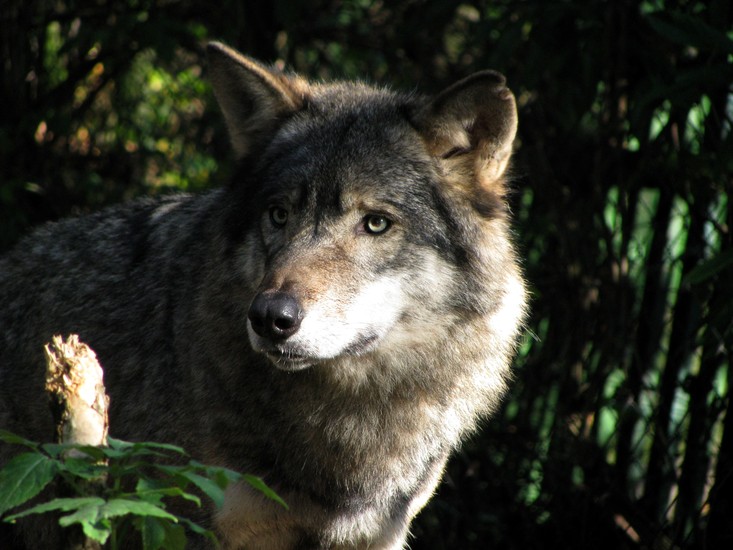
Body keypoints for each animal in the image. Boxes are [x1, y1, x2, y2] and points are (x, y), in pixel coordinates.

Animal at [0, 42, 527, 549]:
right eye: (278, 214)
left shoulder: (377, 535)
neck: (346, 418)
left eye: (376, 223)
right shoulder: (185, 523)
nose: (271, 317)